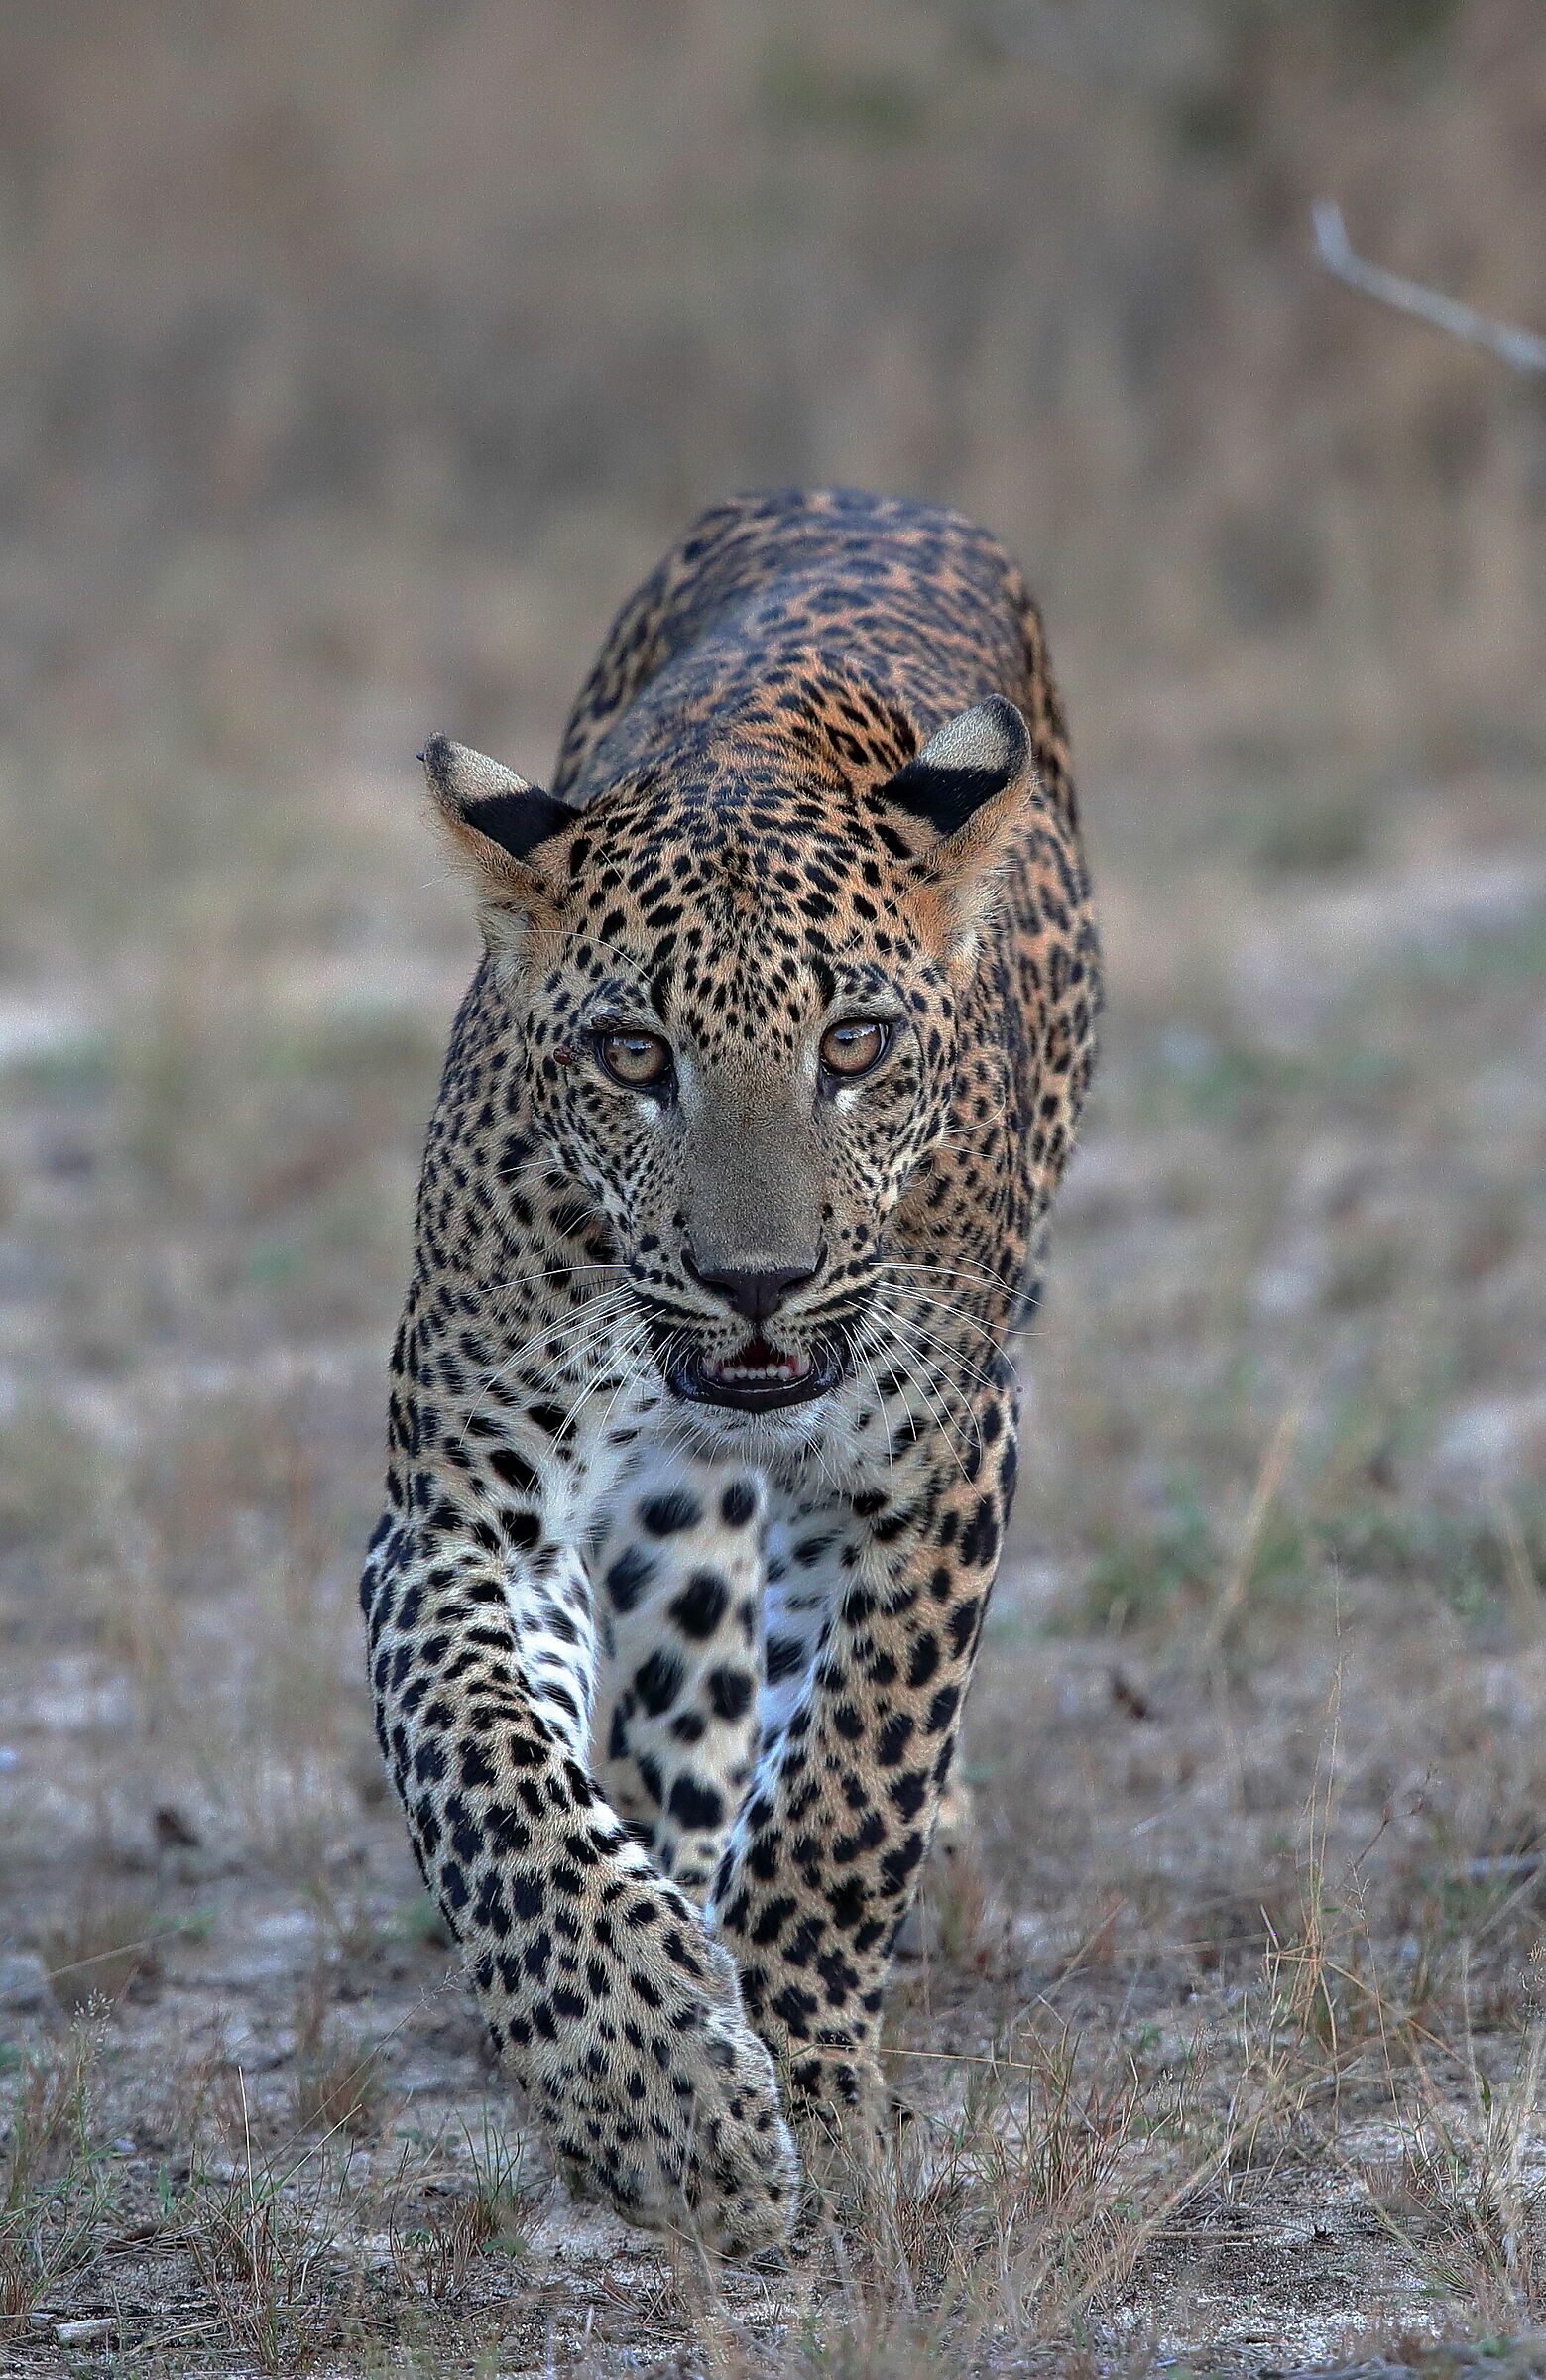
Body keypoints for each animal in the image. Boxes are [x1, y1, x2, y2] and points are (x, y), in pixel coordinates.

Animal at [359, 485, 1100, 2256]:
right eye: (633, 1054)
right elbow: (485, 1778)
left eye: (853, 1045)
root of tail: (859, 492)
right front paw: (657, 2089)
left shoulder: (938, 1469)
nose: (752, 1286)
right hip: (668, 1525)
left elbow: (845, 1790)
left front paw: (812, 2085)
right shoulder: (462, 1522)